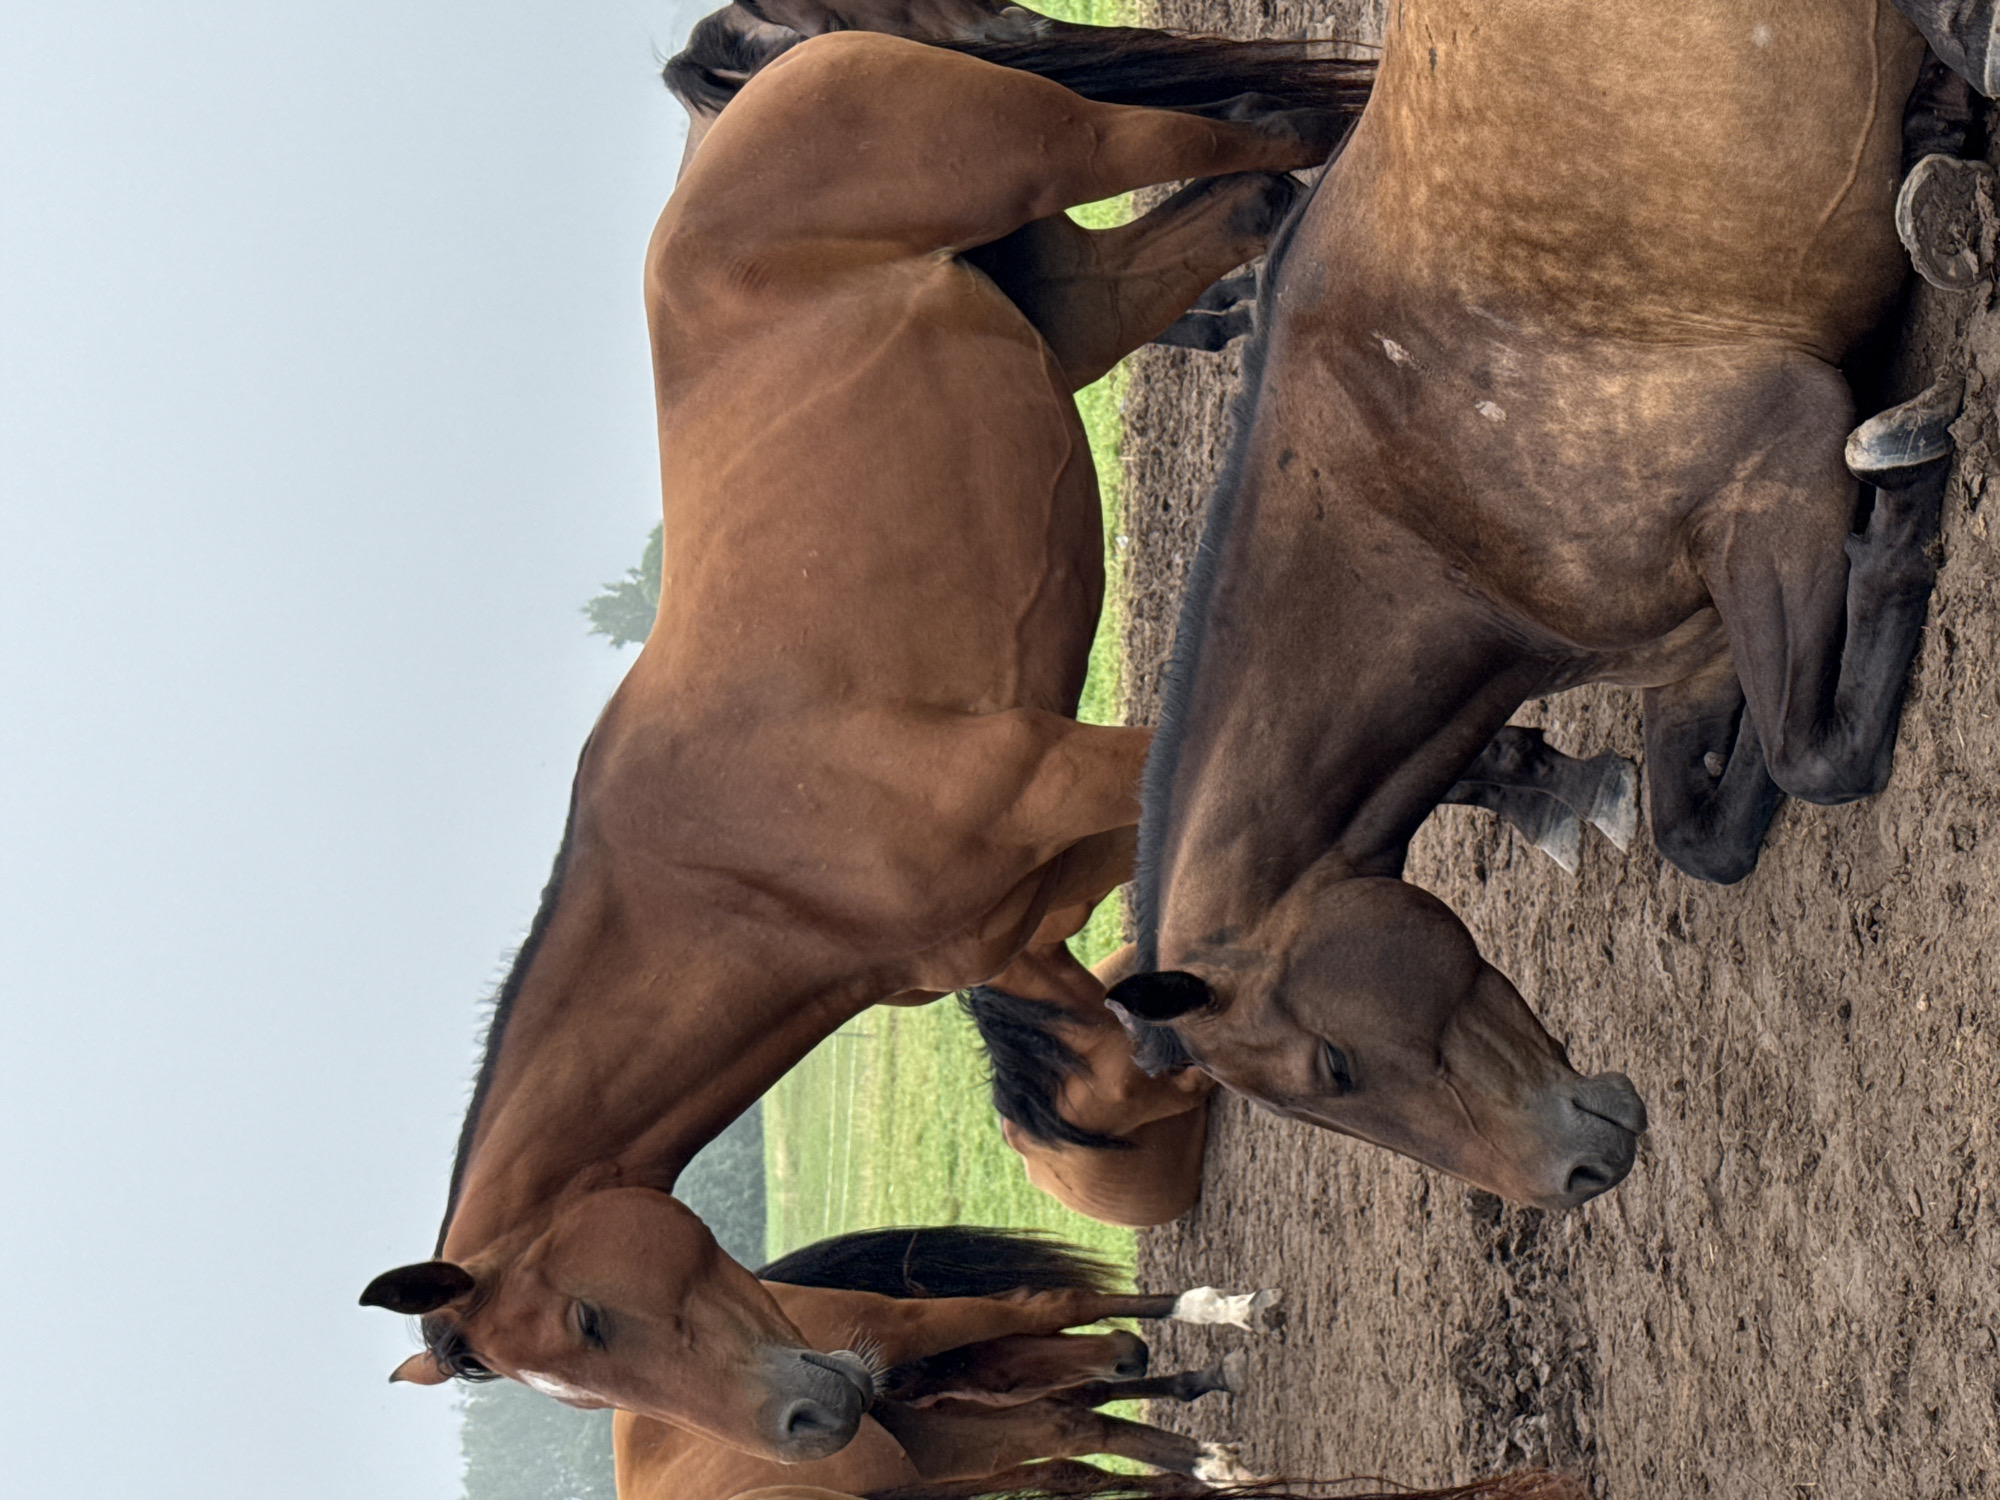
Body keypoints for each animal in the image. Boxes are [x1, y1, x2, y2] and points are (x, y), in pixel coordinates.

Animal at [360, 29, 1376, 1460]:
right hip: (1081, 300)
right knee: (1246, 196)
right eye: (581, 1377)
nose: (808, 1423)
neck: (740, 867)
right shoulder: (1036, 897)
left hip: (1080, 149)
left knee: (1255, 130)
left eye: (587, 1325)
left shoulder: (1054, 771)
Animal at [617, 1227, 1259, 1498]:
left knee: (1049, 1307)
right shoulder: (949, 1443)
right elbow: (1075, 1440)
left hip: (904, 1326)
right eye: (998, 1372)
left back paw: (1217, 1310)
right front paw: (1212, 1467)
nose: (1134, 1352)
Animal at [1100, 0, 1995, 1213]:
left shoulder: (1779, 462)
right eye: (1320, 1102)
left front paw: (1900, 508)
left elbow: (1818, 755)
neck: (1420, 499)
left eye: (1330, 1067)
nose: (1575, 1174)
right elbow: (1699, 830)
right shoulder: (1692, 645)